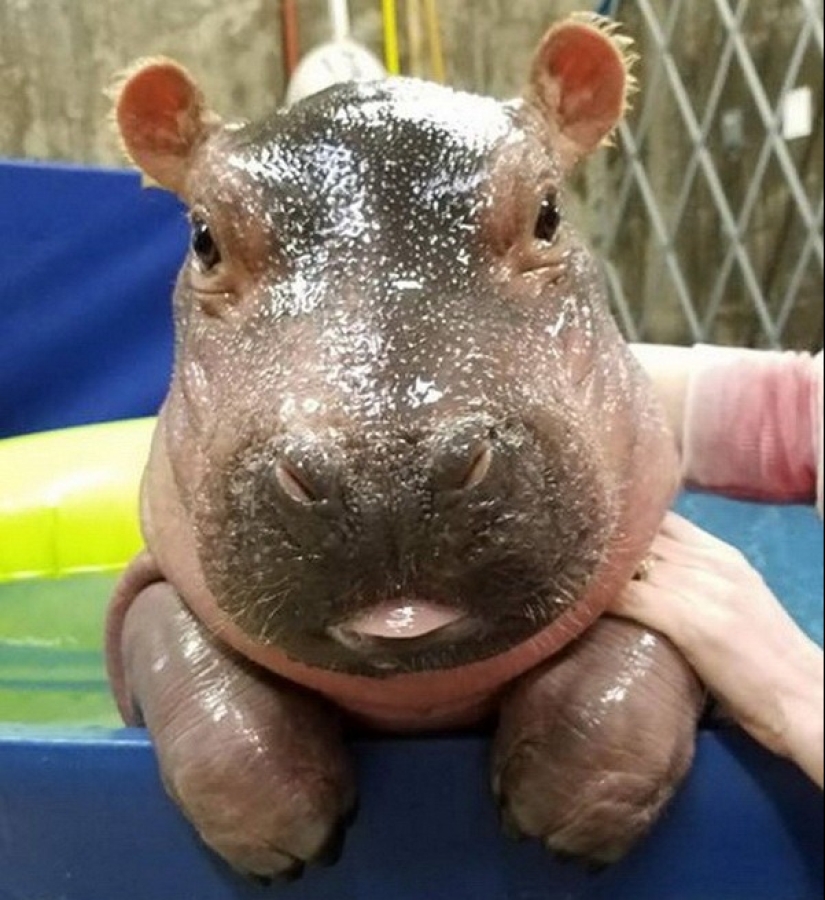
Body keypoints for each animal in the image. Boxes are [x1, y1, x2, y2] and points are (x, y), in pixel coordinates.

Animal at [106, 14, 704, 880]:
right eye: (204, 238)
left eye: (548, 211)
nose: (385, 473)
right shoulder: (153, 581)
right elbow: (170, 638)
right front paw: (283, 835)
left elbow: (646, 642)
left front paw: (565, 812)